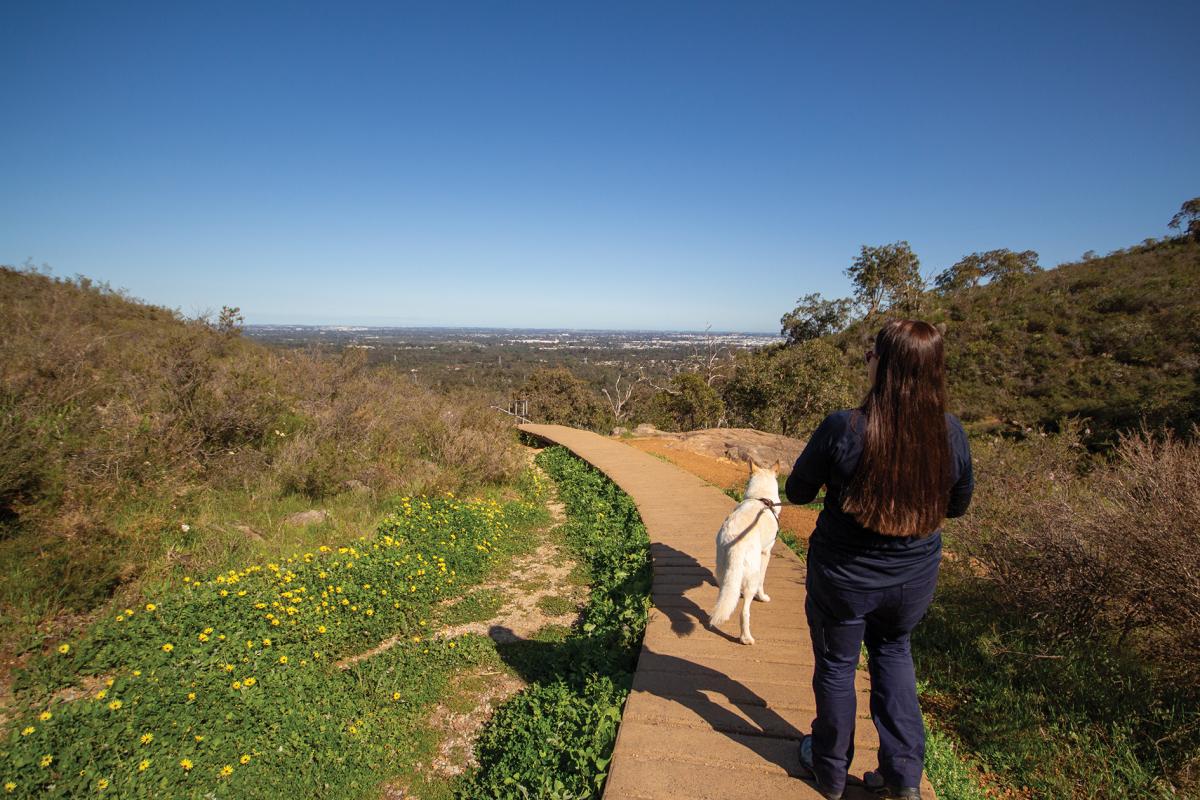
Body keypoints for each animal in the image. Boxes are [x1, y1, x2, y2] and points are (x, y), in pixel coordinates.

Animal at [705, 460, 782, 647]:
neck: (762, 498)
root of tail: (735, 542)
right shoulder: (766, 553)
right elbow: (763, 580)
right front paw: (763, 597)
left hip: (722, 570)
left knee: (725, 594)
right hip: (751, 576)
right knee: (744, 611)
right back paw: (746, 638)